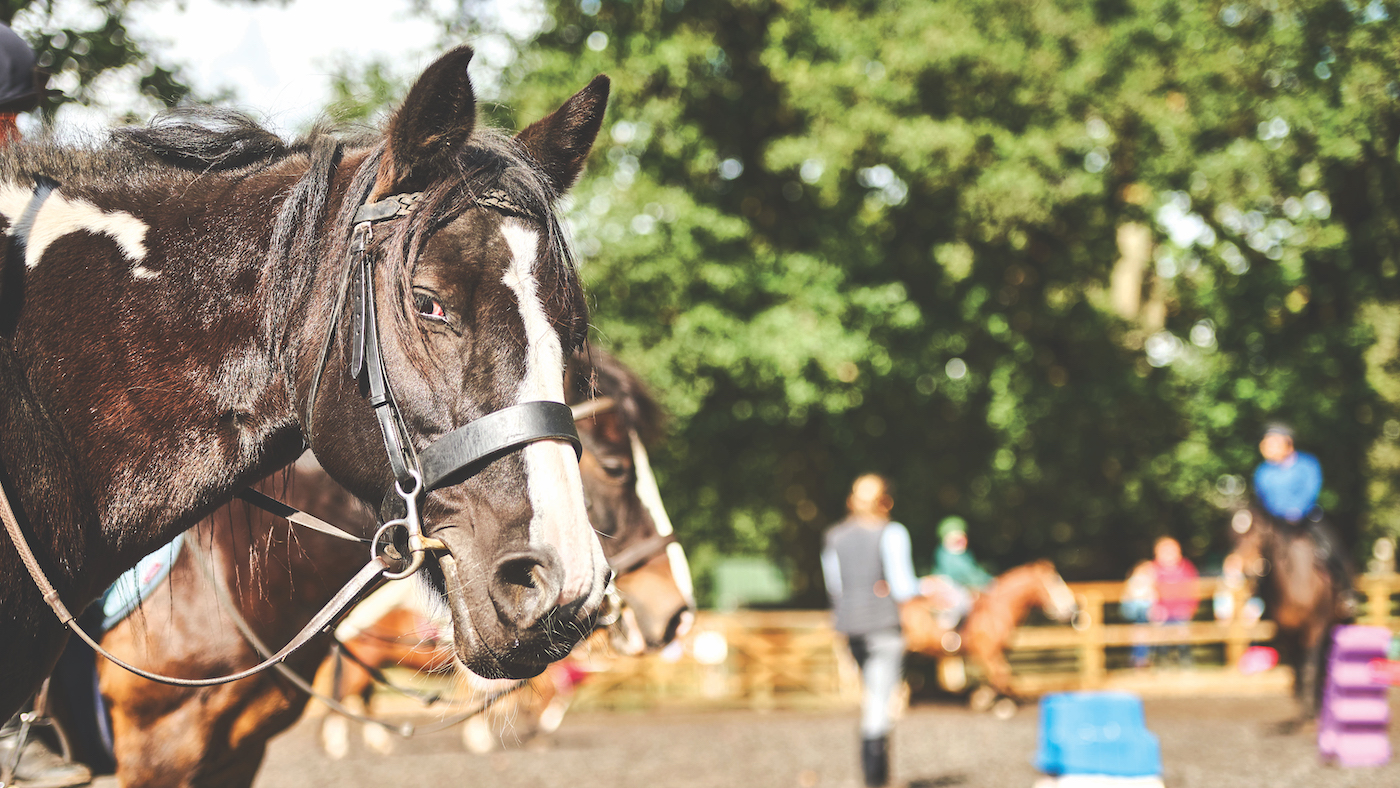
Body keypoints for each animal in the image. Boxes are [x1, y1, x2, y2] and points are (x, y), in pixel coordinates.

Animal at [904, 560, 1077, 709]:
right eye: (1054, 581)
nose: (1072, 608)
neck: (996, 610)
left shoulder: (995, 653)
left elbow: (1002, 674)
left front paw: (983, 698)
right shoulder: (985, 652)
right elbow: (1001, 675)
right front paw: (1000, 704)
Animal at [1227, 506, 1352, 721]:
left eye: (1259, 533)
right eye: (1234, 535)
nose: (1243, 570)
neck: (1295, 582)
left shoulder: (1315, 628)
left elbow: (1310, 667)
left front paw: (1310, 711)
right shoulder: (1286, 634)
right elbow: (1296, 669)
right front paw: (1302, 706)